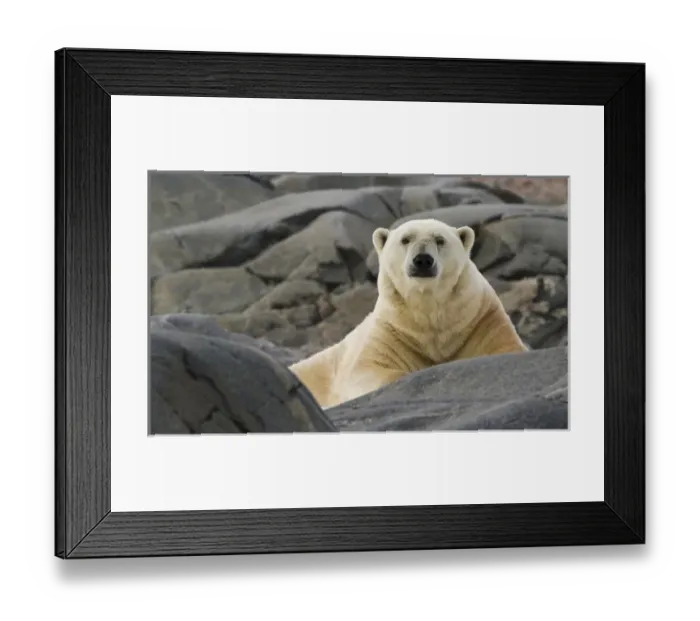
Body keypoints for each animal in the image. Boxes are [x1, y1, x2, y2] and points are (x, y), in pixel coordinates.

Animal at [288, 218, 528, 409]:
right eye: (405, 239)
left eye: (440, 240)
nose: (422, 260)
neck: (429, 311)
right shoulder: (392, 330)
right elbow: (366, 370)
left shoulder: (482, 319)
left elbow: (506, 348)